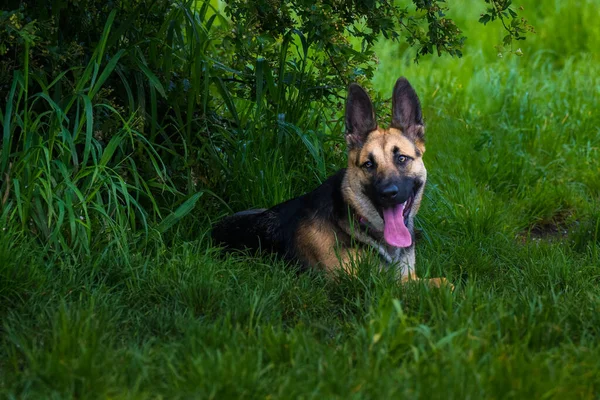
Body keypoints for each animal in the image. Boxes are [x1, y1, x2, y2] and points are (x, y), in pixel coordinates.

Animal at [211, 76, 450, 288]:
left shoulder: (407, 276)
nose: (388, 193)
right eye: (368, 165)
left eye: (401, 159)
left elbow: (445, 282)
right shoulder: (361, 284)